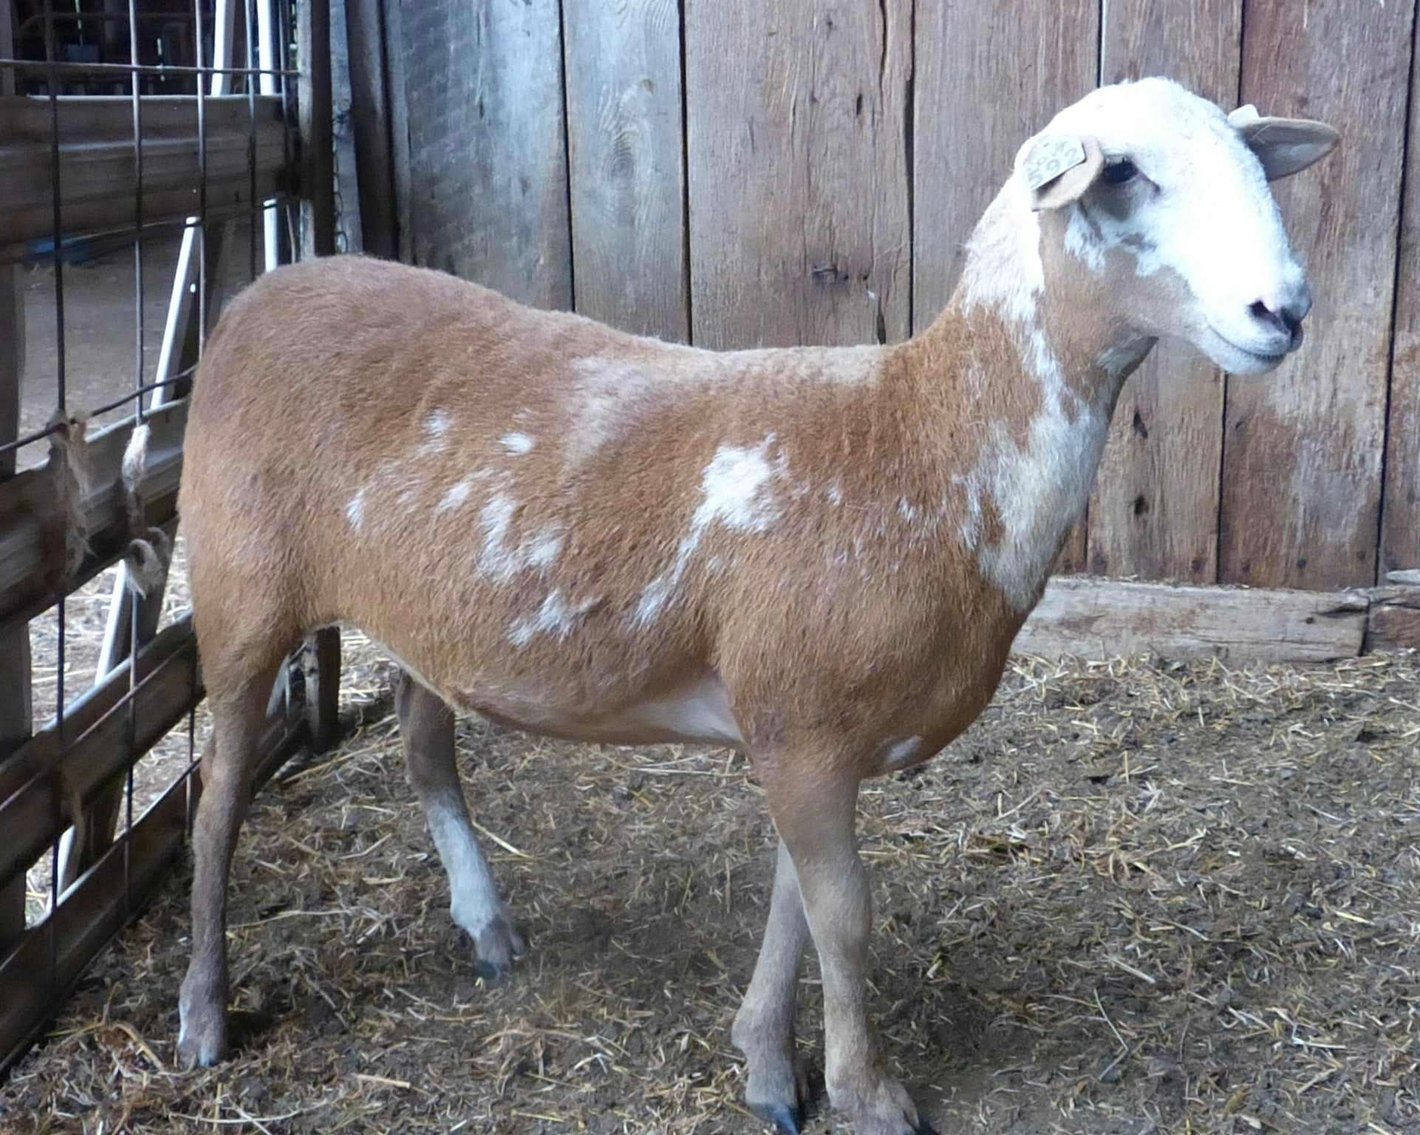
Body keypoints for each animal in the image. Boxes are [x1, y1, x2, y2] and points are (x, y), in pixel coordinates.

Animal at [173, 78, 1336, 1134]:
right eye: (1126, 174)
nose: (1283, 309)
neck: (930, 442)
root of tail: (258, 296)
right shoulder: (807, 728)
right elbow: (845, 916)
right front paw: (870, 1094)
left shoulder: (801, 725)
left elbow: (795, 907)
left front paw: (769, 1065)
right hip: (237, 584)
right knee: (219, 796)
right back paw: (203, 1014)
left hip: (423, 615)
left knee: (423, 748)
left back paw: (486, 925)